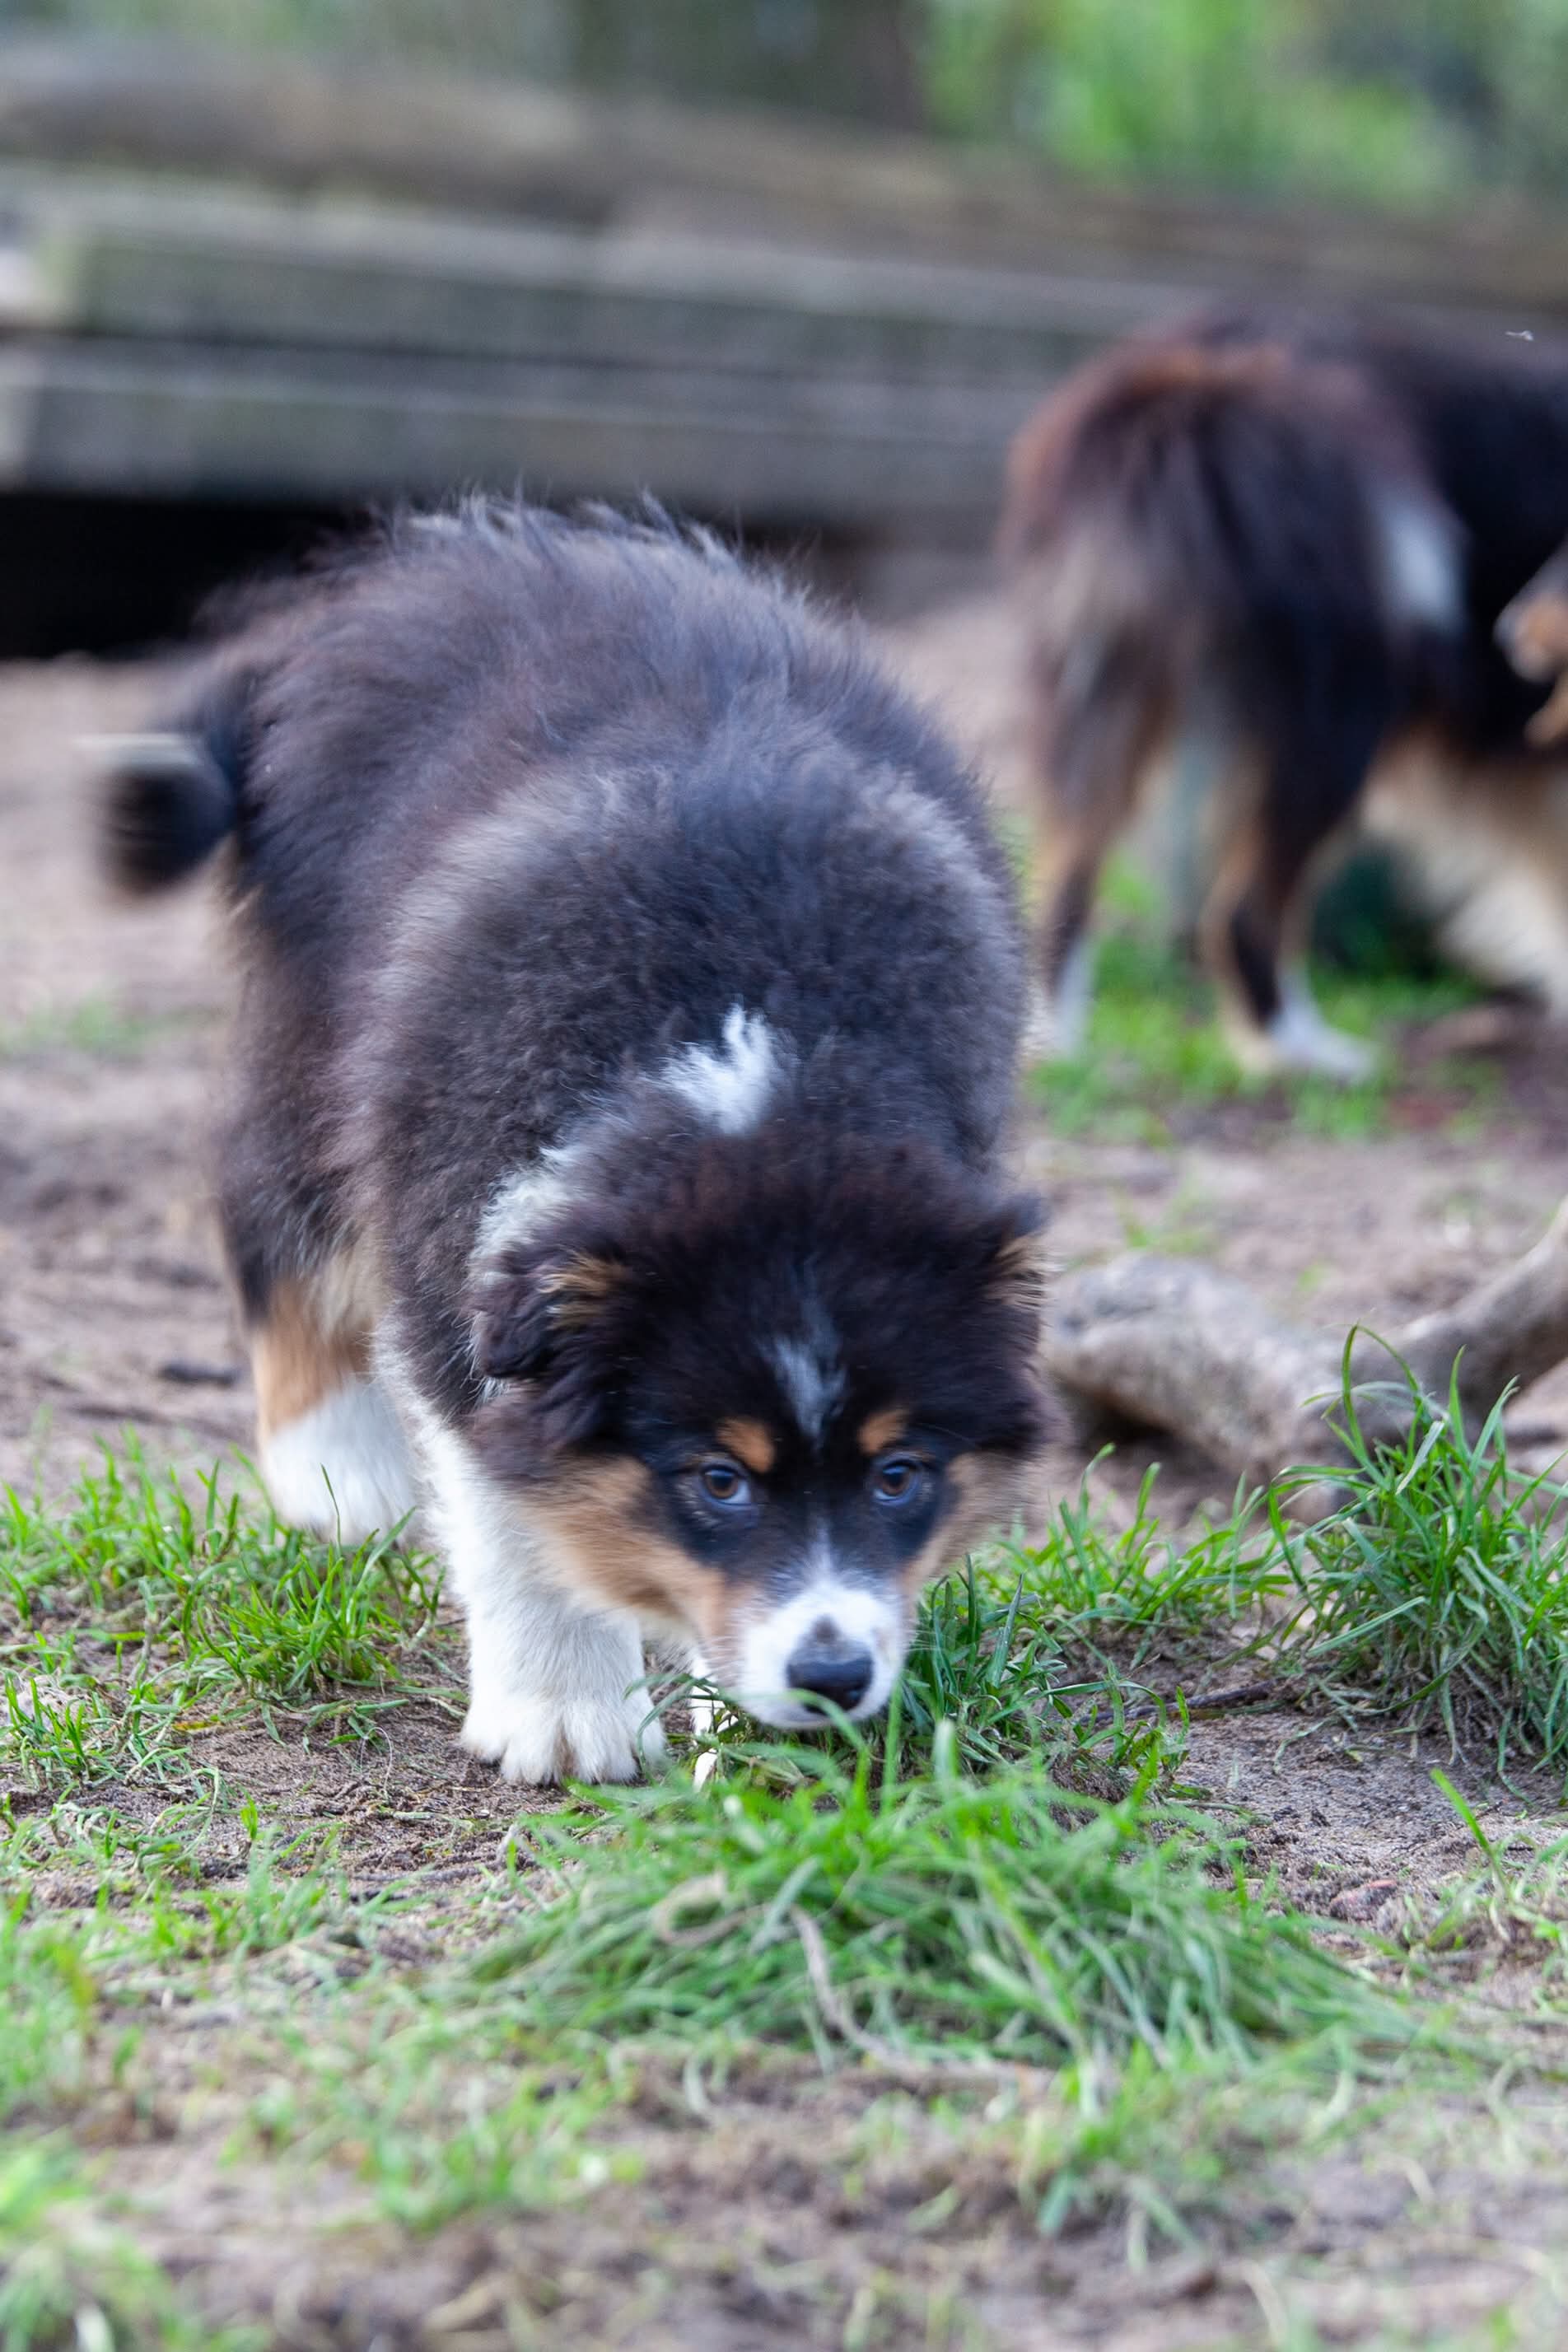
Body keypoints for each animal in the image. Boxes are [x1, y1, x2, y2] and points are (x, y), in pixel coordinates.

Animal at [100, 501, 1052, 1778]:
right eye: (717, 1480)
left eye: (899, 1474)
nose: (833, 1678)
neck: (750, 1073)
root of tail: (368, 592)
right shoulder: (453, 1221)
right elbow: (516, 1498)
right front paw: (564, 1717)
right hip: (319, 1022)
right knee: (265, 1196)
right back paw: (339, 1475)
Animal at [1006, 310, 1568, 1077]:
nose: (1510, 632)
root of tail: (1191, 373)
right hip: (1337, 714)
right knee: (1244, 911)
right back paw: (1303, 1049)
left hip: (1107, 673)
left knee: (1068, 865)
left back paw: (1052, 1039)